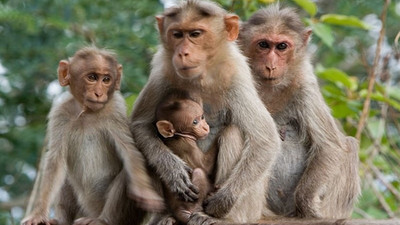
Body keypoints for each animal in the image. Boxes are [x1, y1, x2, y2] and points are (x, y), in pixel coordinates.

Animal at [21, 46, 162, 225]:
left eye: (106, 79)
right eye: (92, 77)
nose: (99, 93)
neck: (87, 113)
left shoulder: (115, 110)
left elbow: (129, 151)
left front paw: (145, 192)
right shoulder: (60, 113)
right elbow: (55, 161)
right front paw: (38, 214)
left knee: (126, 175)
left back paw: (103, 220)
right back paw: (61, 219)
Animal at [155, 90, 216, 225]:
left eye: (202, 117)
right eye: (195, 122)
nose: (205, 127)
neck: (178, 136)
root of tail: (179, 211)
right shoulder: (189, 145)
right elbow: (205, 166)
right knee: (199, 172)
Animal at [238, 4, 362, 219]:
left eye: (282, 46)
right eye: (263, 44)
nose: (271, 65)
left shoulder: (305, 87)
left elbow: (330, 146)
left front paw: (307, 205)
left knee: (350, 145)